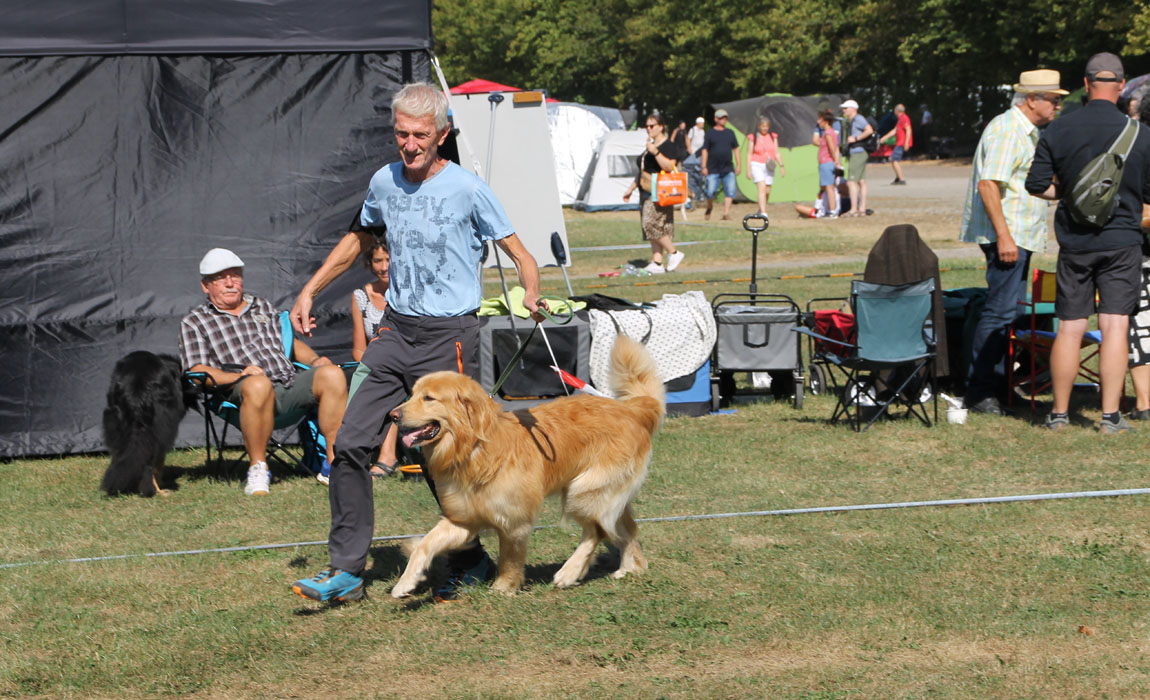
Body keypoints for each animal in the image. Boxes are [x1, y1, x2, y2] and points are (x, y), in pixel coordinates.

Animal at [100, 349, 197, 496]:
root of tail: (138, 387)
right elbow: (159, 463)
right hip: (161, 427)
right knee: (151, 461)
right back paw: (155, 490)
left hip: (114, 421)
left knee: (121, 455)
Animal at [391, 333, 667, 593]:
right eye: (412, 394)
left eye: (429, 398)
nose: (393, 415)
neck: (473, 449)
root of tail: (631, 409)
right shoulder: (462, 519)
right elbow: (425, 544)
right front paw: (405, 582)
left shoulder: (514, 520)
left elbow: (509, 557)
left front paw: (503, 587)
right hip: (603, 491)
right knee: (625, 528)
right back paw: (630, 568)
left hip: (584, 490)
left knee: (597, 531)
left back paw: (570, 572)